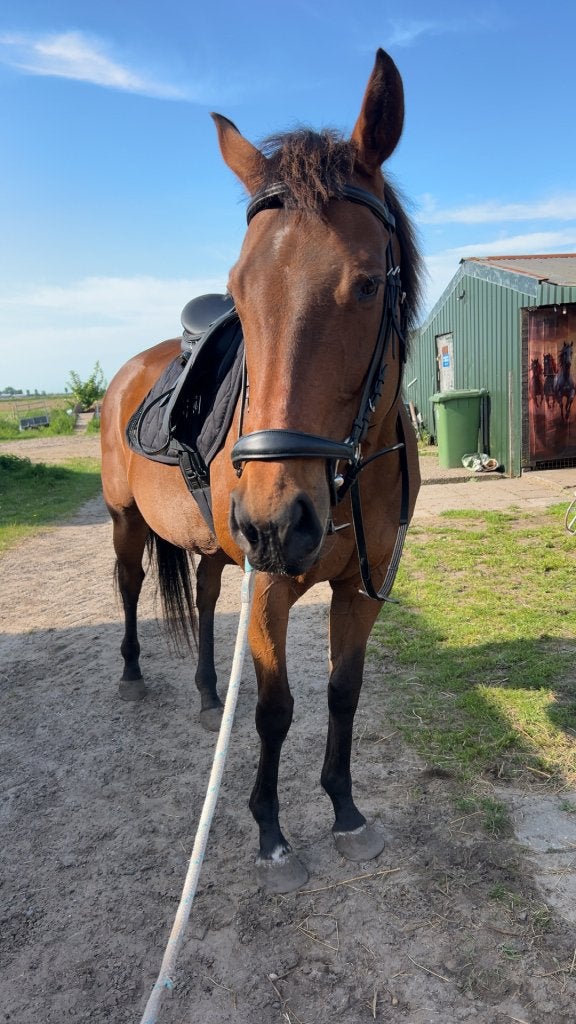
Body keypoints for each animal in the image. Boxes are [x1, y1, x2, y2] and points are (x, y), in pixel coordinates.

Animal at [100, 48, 422, 894]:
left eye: (368, 282)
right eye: (240, 296)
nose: (277, 521)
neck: (347, 472)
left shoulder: (363, 588)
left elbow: (343, 693)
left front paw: (345, 811)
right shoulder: (272, 587)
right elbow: (276, 710)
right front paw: (272, 834)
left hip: (224, 548)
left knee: (208, 595)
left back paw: (209, 689)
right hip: (128, 522)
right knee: (130, 585)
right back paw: (134, 673)